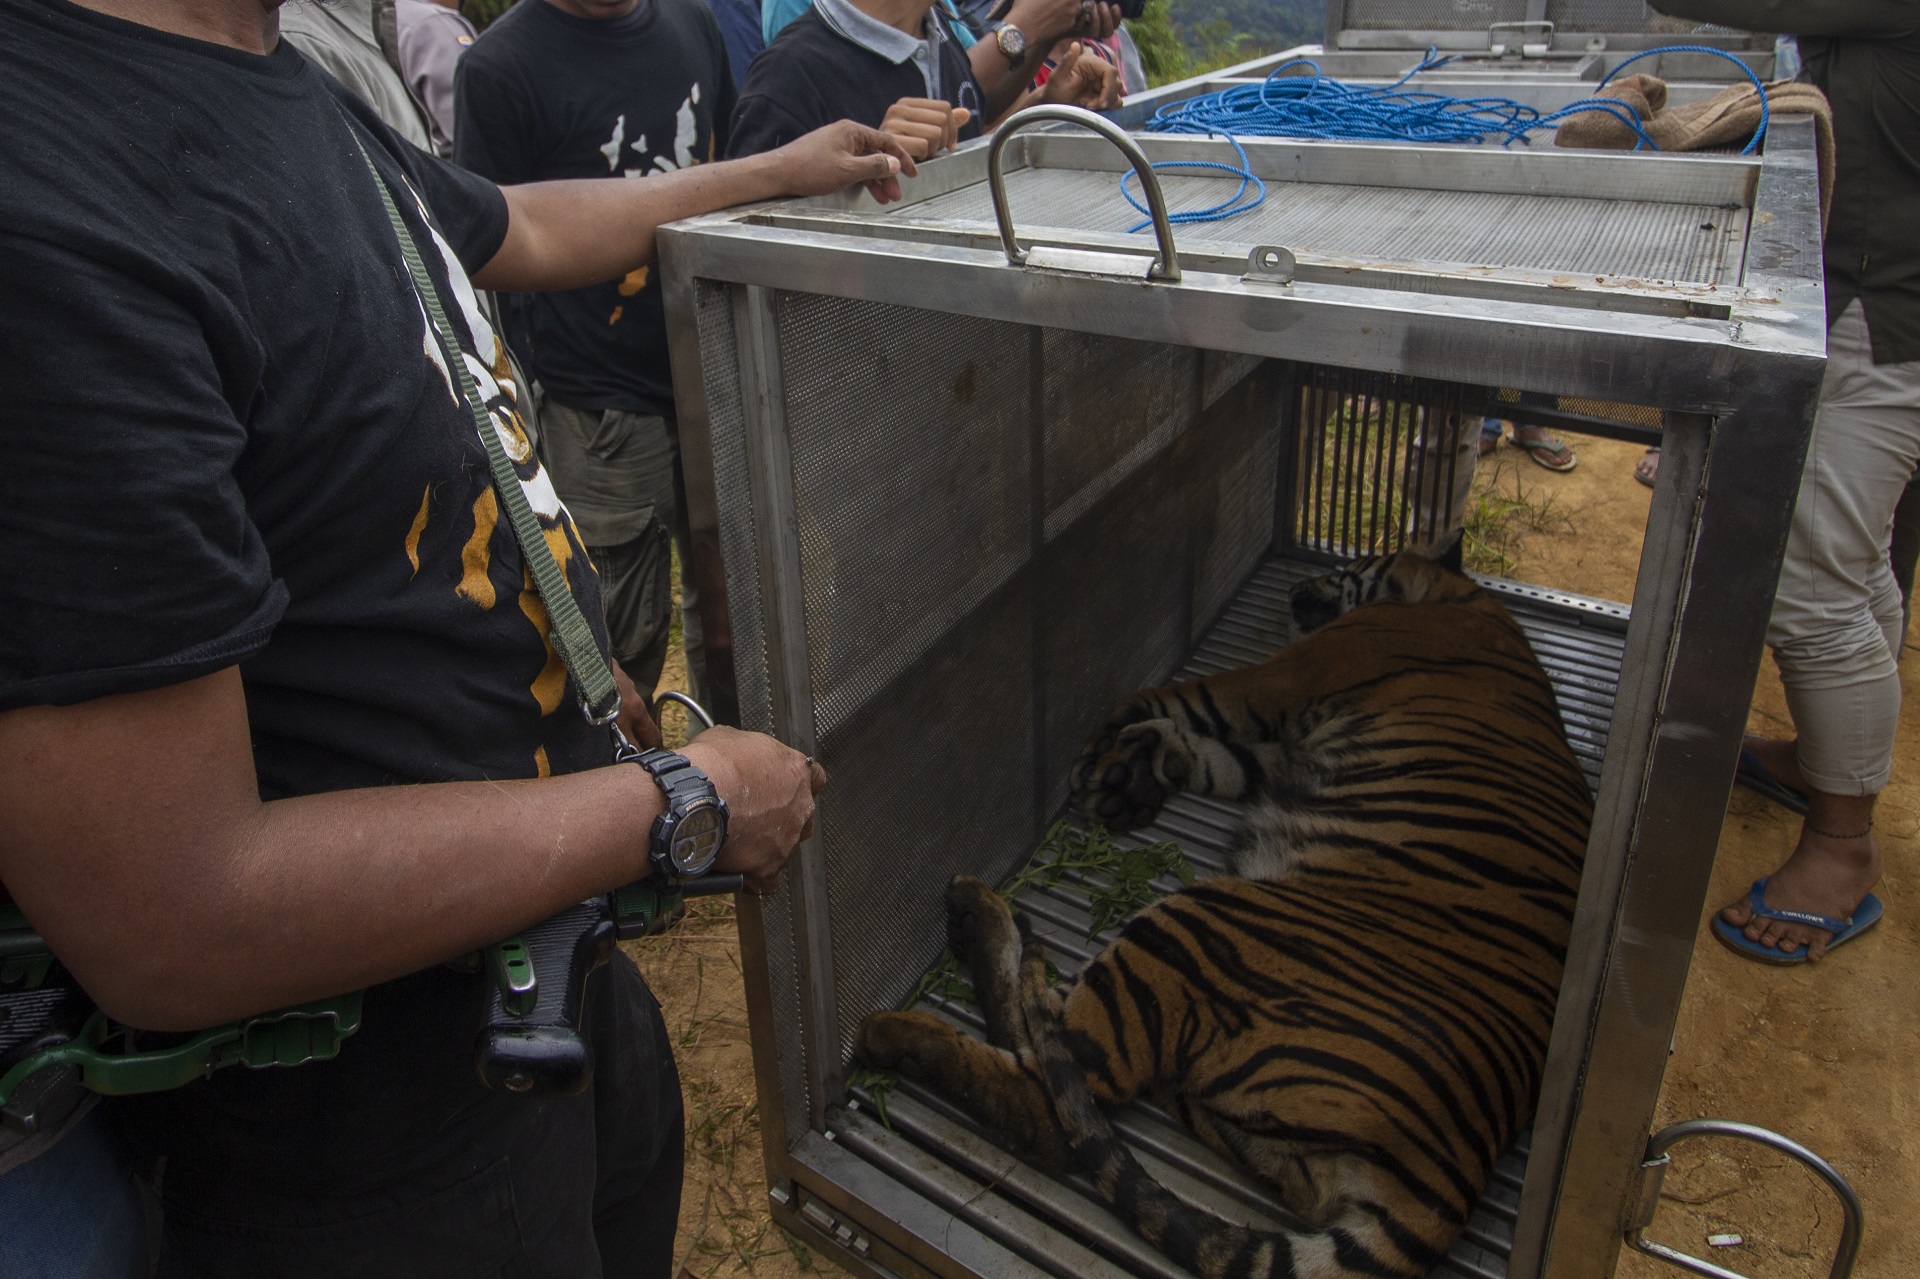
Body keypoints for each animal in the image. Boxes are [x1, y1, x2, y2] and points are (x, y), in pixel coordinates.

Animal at [856, 549, 1589, 1275]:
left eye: (1347, 568)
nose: (1297, 587)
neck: (1459, 600)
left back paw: (905, 1013)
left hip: (1194, 930)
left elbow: (1171, 697)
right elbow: (1204, 752)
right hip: (1240, 1116)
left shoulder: (1283, 679)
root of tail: (1449, 1190)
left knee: (1049, 1100)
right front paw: (1130, 774)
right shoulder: (1264, 750)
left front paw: (1110, 749)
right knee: (1056, 1058)